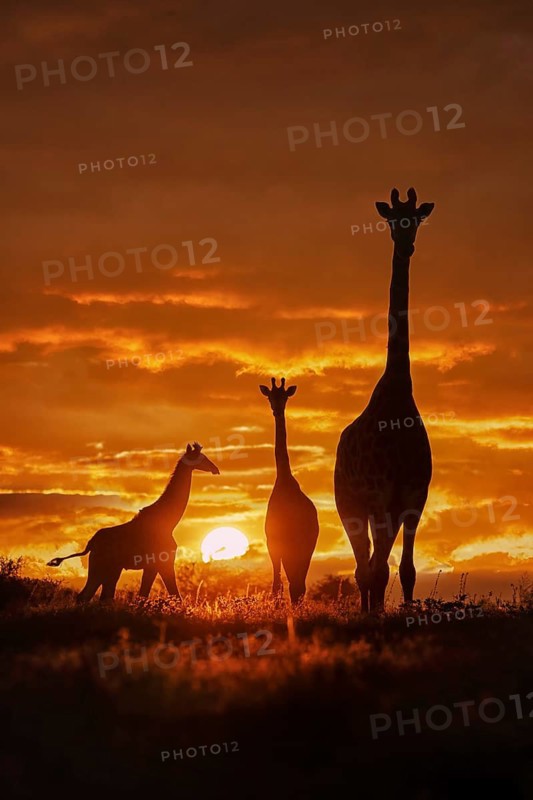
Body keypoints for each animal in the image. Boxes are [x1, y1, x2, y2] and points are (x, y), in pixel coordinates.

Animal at [47, 443, 220, 601]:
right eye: (201, 457)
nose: (216, 469)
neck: (169, 522)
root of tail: (90, 544)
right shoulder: (162, 563)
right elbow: (166, 595)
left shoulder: (154, 566)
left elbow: (148, 595)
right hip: (103, 567)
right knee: (90, 596)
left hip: (109, 569)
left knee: (95, 597)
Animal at [260, 377, 319, 603]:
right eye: (270, 396)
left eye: (284, 397)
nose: (277, 410)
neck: (284, 481)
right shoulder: (275, 542)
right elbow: (280, 585)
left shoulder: (276, 542)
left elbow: (279, 585)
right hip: (300, 548)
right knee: (297, 585)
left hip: (303, 546)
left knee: (297, 585)